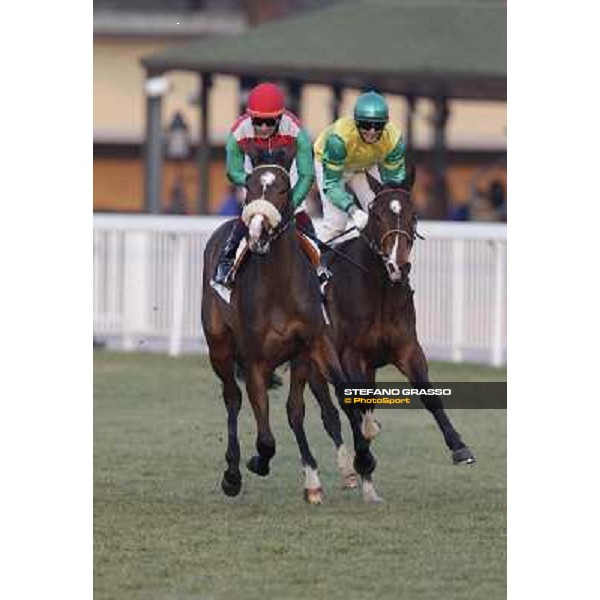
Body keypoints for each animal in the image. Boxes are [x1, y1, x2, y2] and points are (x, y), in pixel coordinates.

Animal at [202, 162, 356, 504]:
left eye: (283, 188)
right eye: (248, 186)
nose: (257, 233)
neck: (279, 287)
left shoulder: (312, 344)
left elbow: (324, 402)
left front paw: (349, 466)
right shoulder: (255, 362)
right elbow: (266, 439)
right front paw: (256, 463)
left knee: (300, 410)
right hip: (219, 347)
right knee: (232, 398)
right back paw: (232, 473)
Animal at [308, 171, 476, 504]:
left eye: (414, 215)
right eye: (377, 215)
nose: (399, 266)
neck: (379, 289)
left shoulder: (408, 348)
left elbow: (429, 395)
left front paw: (459, 447)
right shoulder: (351, 355)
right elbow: (353, 407)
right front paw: (364, 458)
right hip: (312, 363)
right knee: (331, 413)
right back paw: (350, 469)